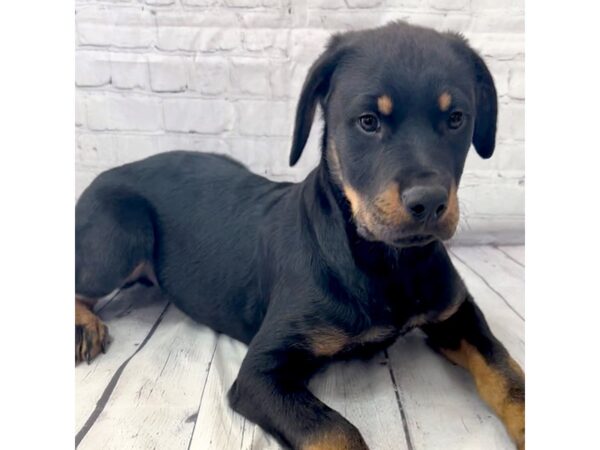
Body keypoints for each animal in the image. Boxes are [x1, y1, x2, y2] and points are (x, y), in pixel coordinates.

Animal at [76, 20, 524, 450]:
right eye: (368, 122)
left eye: (456, 118)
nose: (429, 204)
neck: (388, 262)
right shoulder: (261, 372)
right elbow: (334, 431)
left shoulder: (456, 314)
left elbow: (506, 371)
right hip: (122, 234)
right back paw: (86, 327)